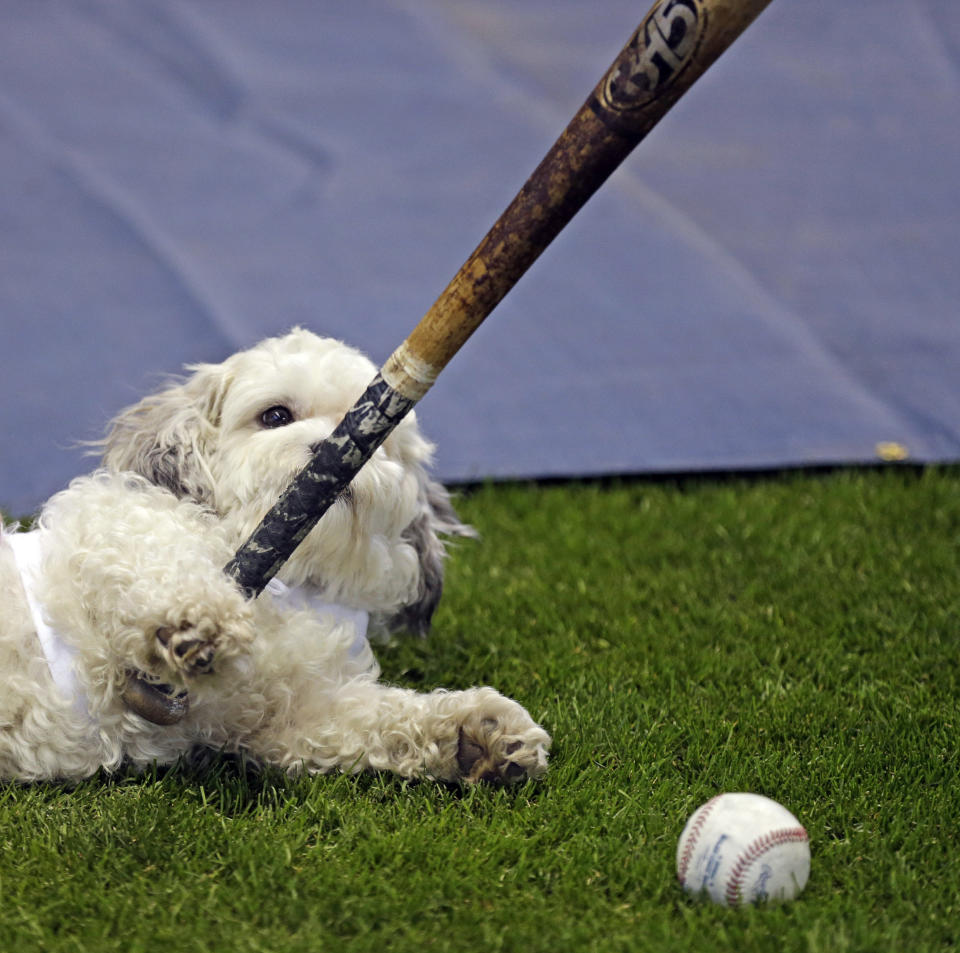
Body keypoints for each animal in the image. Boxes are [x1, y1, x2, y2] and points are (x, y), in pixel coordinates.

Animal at [0, 328, 552, 780]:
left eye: (373, 439)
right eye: (276, 416)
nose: (330, 452)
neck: (290, 584)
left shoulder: (291, 712)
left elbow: (381, 718)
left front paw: (477, 733)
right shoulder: (99, 519)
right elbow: (151, 542)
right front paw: (196, 623)